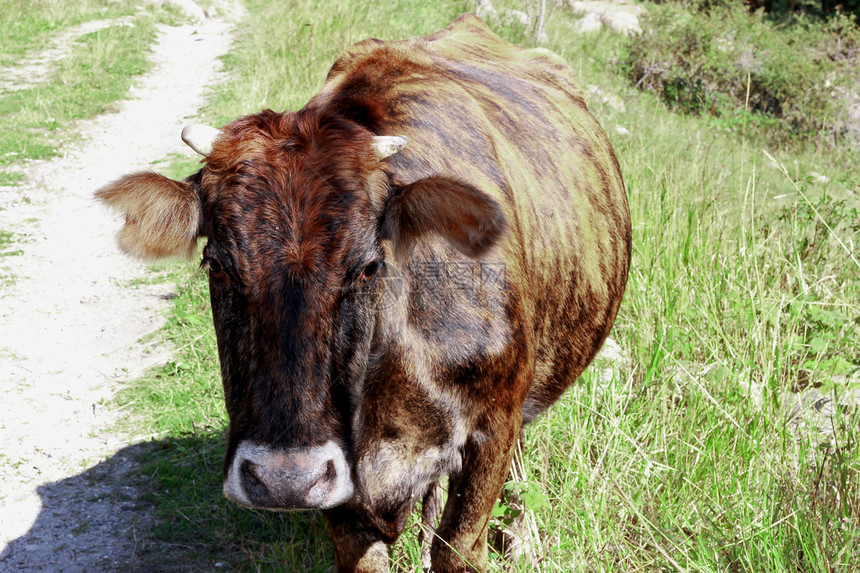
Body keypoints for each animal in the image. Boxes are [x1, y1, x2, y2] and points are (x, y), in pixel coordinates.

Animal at [97, 13, 632, 572]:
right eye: (217, 264)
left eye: (369, 266)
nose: (284, 479)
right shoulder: (344, 496)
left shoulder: (492, 432)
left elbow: (458, 545)